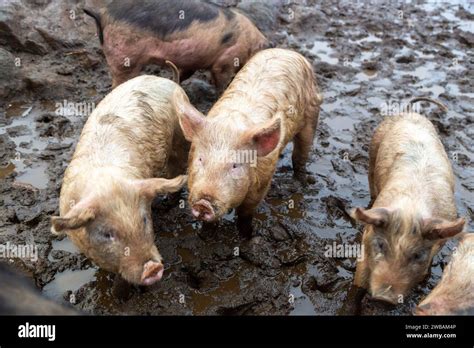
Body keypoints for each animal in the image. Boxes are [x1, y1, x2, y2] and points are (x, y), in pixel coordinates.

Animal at [49, 75, 187, 284]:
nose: (152, 268)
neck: (104, 180)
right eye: (107, 234)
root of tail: (161, 78)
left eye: (144, 220)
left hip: (179, 136)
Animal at [83, 0, 268, 89]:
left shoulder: (193, 61)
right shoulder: (227, 59)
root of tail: (102, 13)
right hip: (125, 57)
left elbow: (185, 72)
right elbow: (222, 79)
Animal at [172, 49, 324, 227]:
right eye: (201, 159)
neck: (230, 125)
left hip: (312, 115)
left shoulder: (261, 184)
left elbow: (246, 214)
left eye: (235, 165)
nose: (203, 203)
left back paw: (301, 185)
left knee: (301, 155)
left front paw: (246, 232)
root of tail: (288, 51)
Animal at [350, 110, 464, 306]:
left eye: (417, 255)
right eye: (381, 245)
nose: (384, 298)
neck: (411, 209)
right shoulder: (367, 237)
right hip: (373, 150)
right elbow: (359, 281)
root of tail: (409, 112)